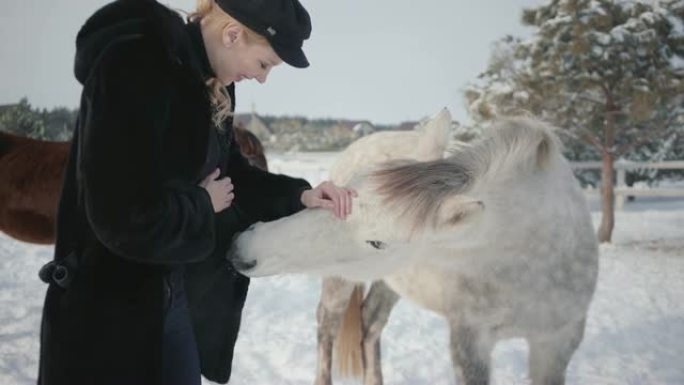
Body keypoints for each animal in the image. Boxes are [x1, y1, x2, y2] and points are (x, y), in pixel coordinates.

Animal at [228, 112, 592, 384]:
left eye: (378, 242)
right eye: (342, 192)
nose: (242, 248)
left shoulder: (559, 343)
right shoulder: (470, 342)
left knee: (371, 324)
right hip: (339, 284)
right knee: (327, 330)